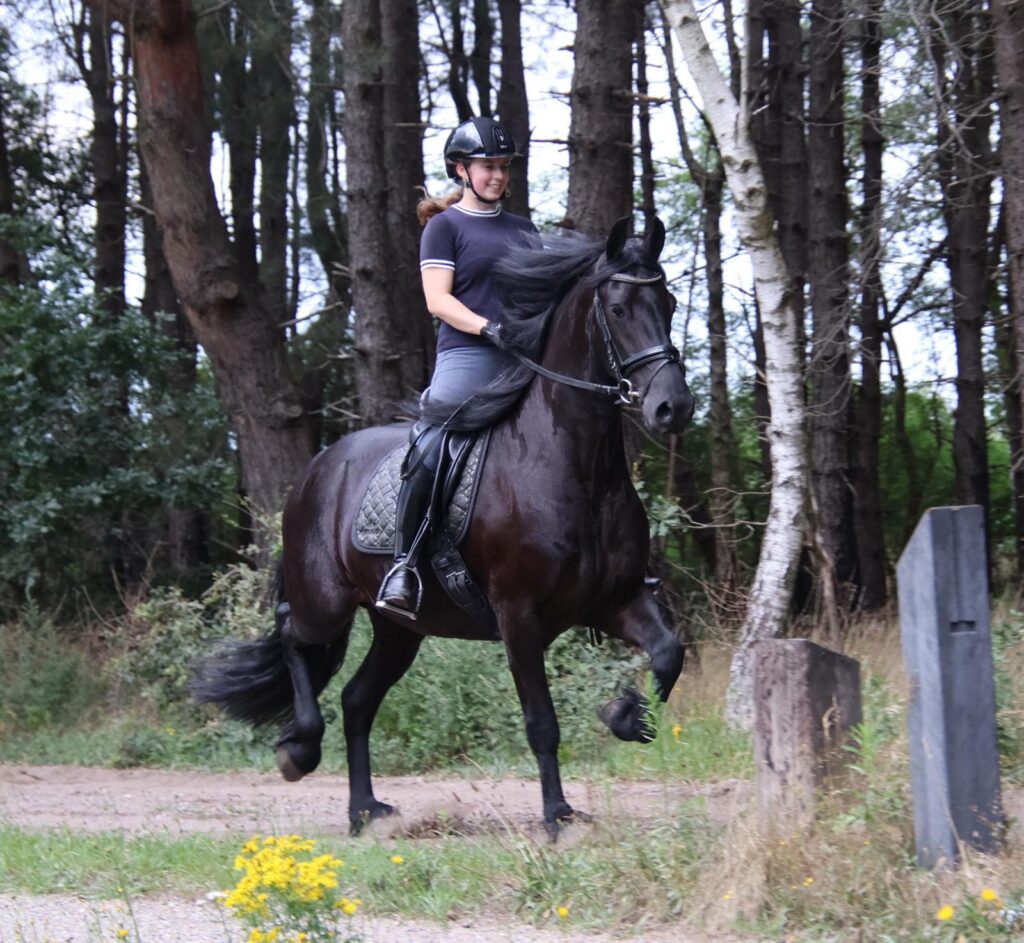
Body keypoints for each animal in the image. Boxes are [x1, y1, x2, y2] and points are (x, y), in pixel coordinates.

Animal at [193, 217, 696, 835]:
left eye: (669, 304)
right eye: (620, 308)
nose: (673, 407)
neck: (574, 468)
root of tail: (317, 467)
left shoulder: (615, 599)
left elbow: (668, 655)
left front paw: (623, 713)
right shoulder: (518, 616)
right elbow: (542, 722)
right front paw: (557, 815)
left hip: (400, 627)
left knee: (357, 700)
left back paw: (365, 809)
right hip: (325, 602)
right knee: (293, 633)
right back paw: (301, 751)